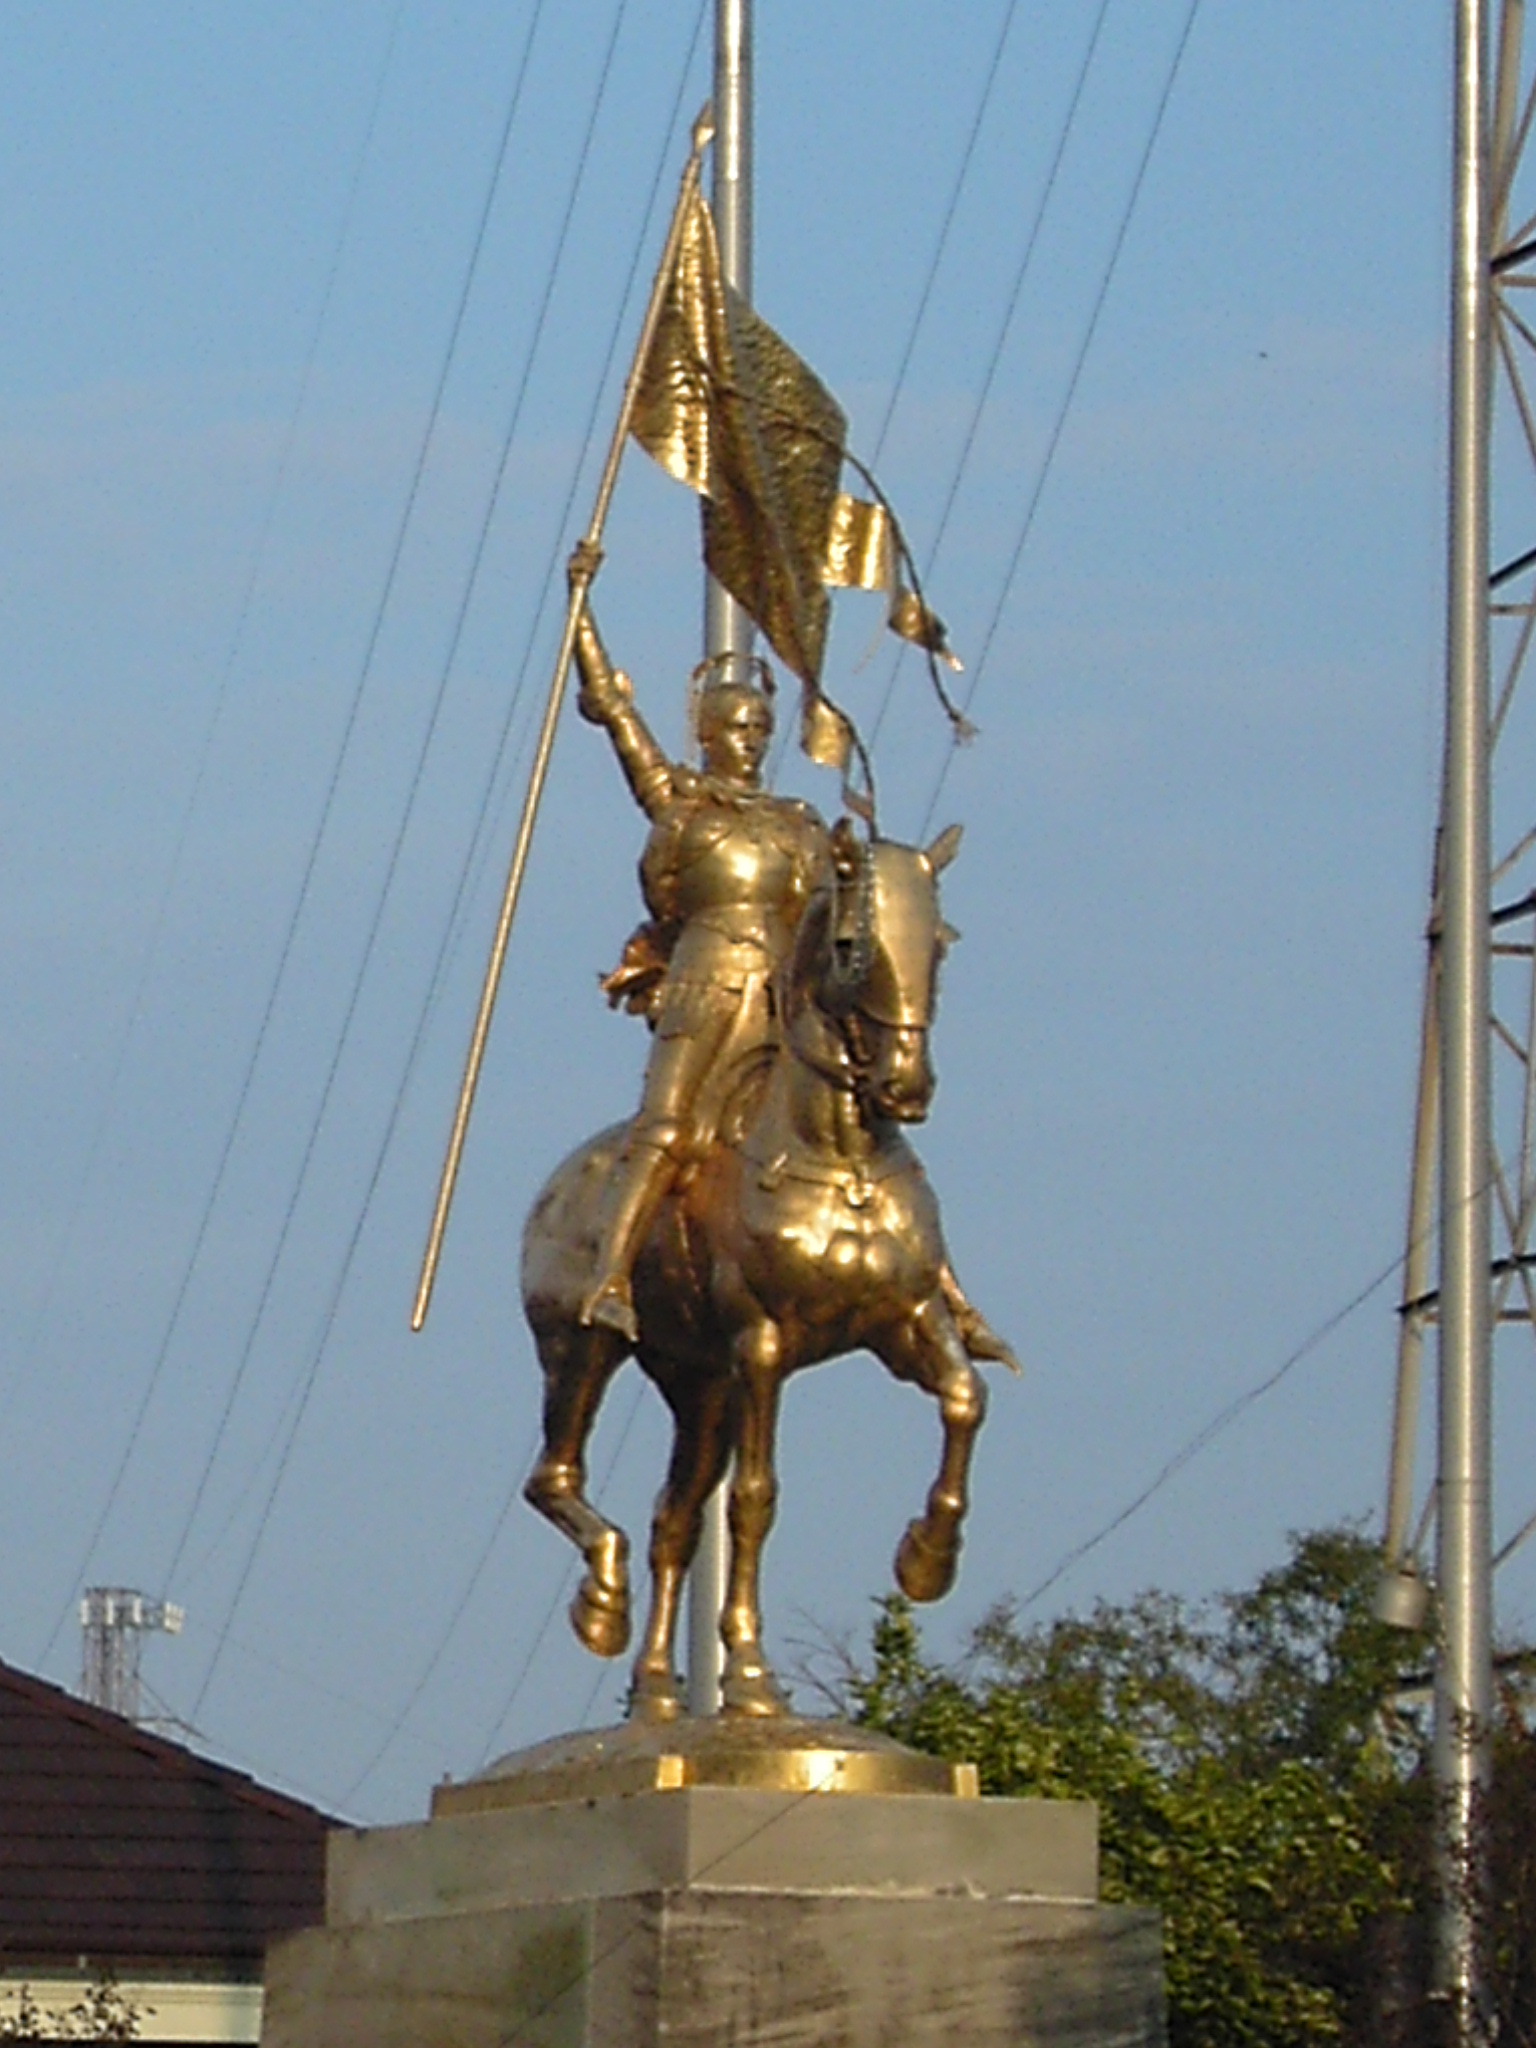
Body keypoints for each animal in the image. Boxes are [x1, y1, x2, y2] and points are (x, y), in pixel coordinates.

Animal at [518, 823, 1003, 1720]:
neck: (841, 1159)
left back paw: (656, 1691)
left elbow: (965, 1398)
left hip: (698, 1388)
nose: (907, 1086)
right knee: (555, 1476)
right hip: (581, 1353)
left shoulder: (904, 1321)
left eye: (941, 944)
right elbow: (756, 1499)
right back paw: (603, 1606)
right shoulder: (763, 1346)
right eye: (851, 944)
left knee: (674, 1521)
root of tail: (559, 1187)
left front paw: (927, 1559)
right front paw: (749, 1675)